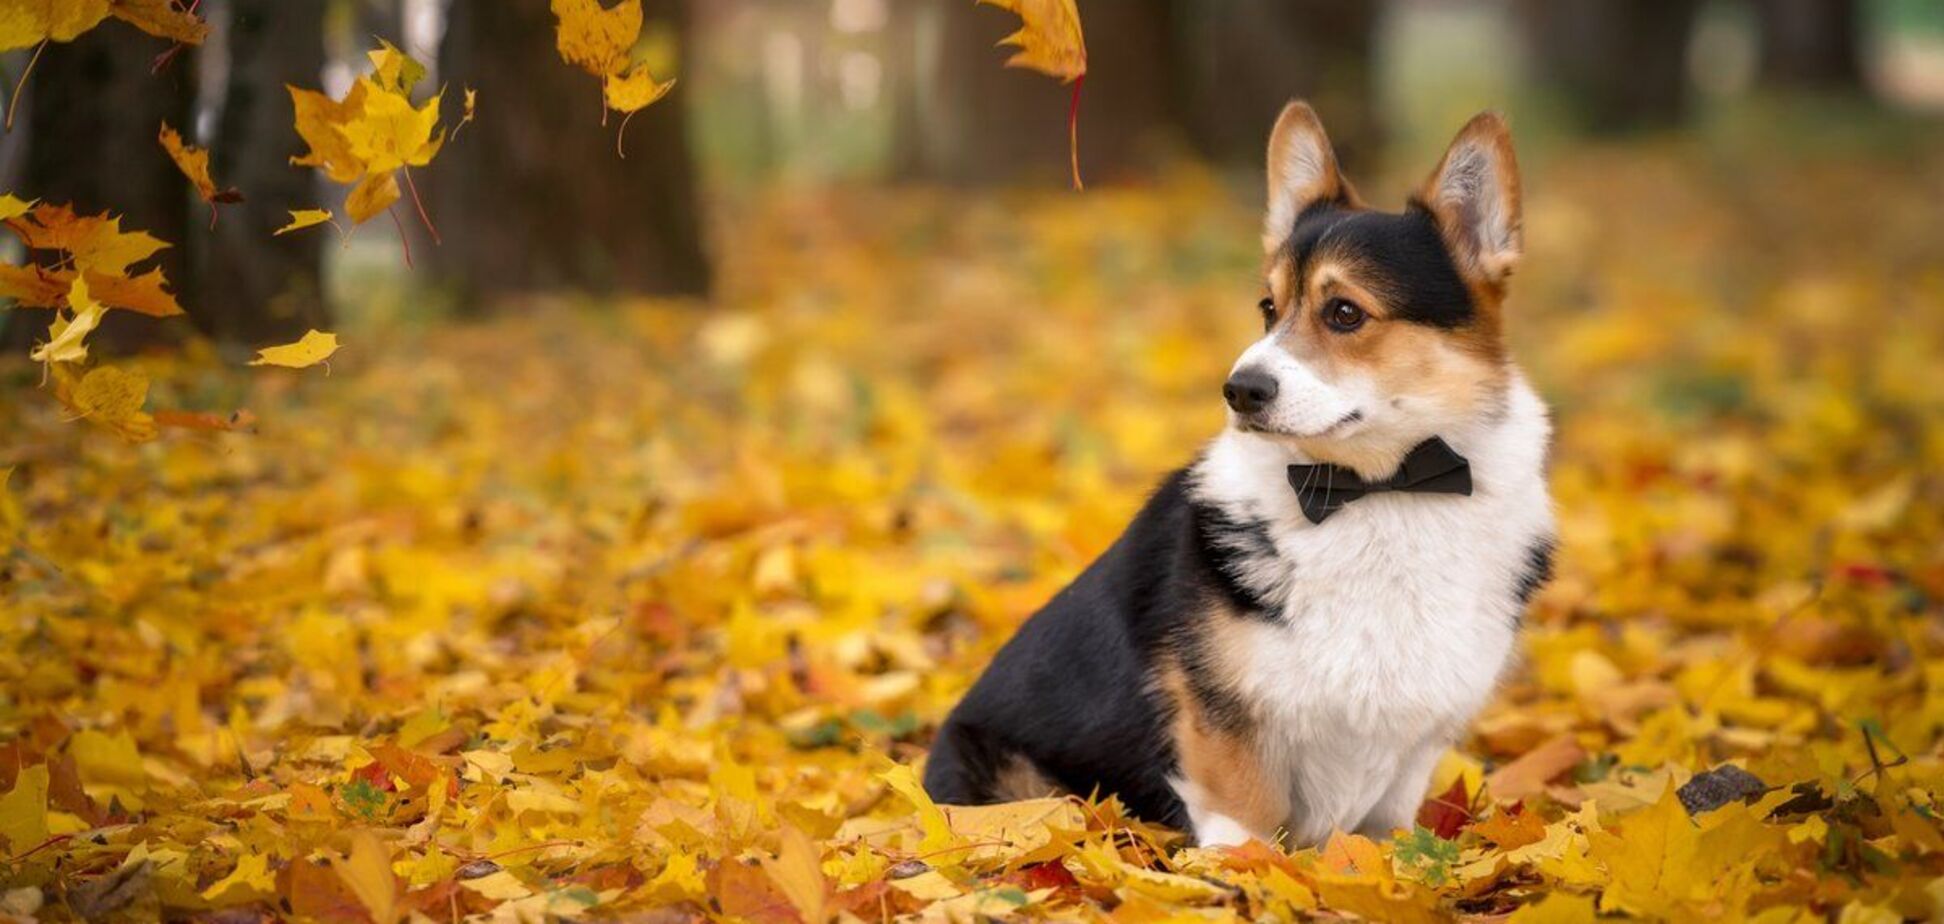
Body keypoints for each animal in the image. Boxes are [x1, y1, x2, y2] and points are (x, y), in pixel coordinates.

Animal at [917, 101, 1555, 848]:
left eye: (1345, 312)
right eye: (1267, 309)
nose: (1239, 390)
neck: (1376, 490)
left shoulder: (1414, 747)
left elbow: (1383, 833)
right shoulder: (1225, 718)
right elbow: (1244, 816)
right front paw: (1244, 872)